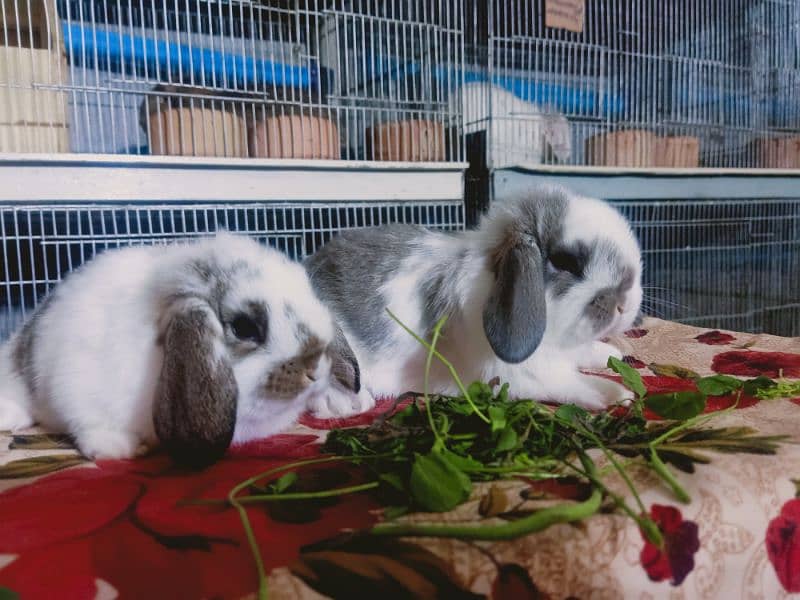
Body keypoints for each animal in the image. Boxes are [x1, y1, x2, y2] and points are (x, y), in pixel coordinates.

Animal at [304, 186, 644, 412]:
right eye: (565, 262)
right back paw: (353, 403)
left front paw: (612, 354)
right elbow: (568, 383)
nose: (626, 303)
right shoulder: (518, 374)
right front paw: (616, 394)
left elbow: (583, 352)